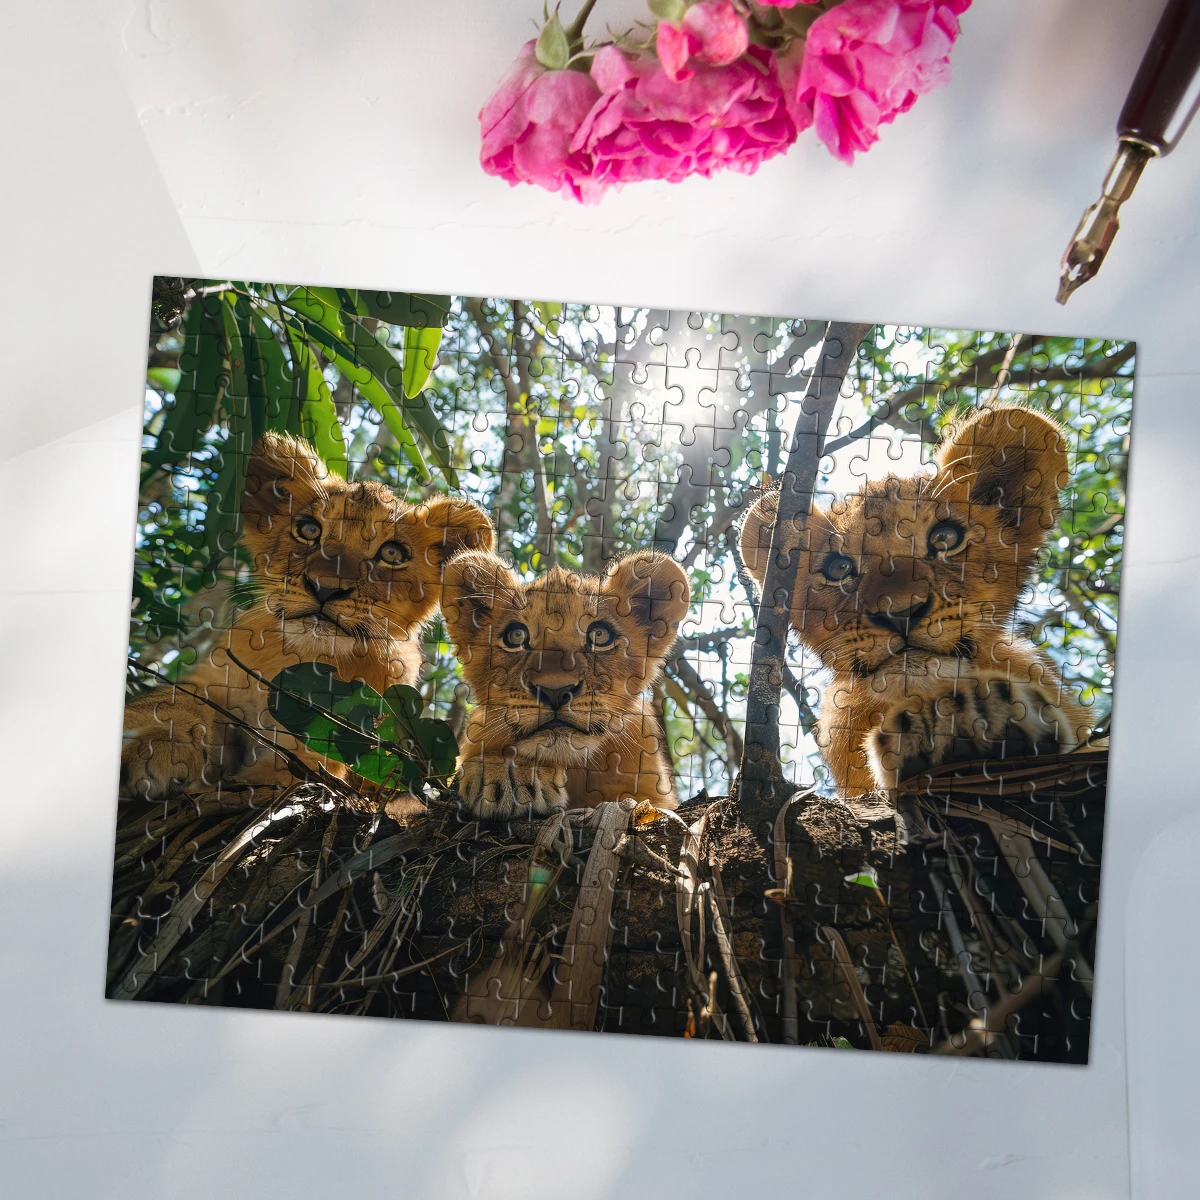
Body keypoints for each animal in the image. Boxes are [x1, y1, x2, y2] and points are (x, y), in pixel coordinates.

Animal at [121, 433, 494, 798]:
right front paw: (157, 744)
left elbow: (296, 768)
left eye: (392, 554)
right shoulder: (212, 677)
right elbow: (175, 698)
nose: (325, 588)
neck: (303, 658)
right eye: (309, 530)